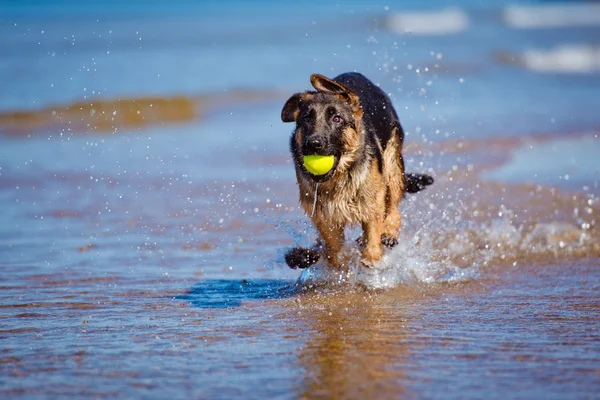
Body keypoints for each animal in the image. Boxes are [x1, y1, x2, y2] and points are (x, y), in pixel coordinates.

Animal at [284, 73, 434, 270]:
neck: (338, 178)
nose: (314, 144)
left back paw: (388, 235)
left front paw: (371, 260)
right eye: (307, 119)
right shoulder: (324, 219)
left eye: (337, 119)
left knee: (394, 211)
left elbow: (371, 248)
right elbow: (335, 253)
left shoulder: (372, 208)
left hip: (391, 168)